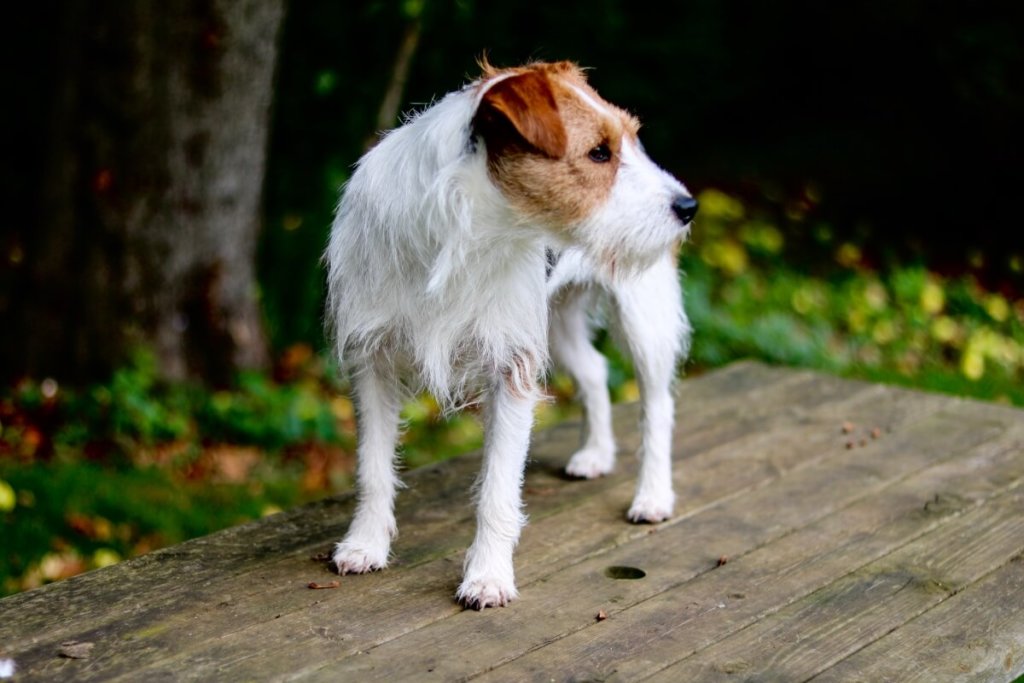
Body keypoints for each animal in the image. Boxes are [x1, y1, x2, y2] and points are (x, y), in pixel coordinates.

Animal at [325, 60, 696, 610]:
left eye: (632, 139)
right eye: (599, 152)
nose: (688, 206)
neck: (460, 236)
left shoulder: (511, 367)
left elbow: (497, 490)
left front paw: (487, 576)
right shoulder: (371, 361)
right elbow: (372, 467)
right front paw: (365, 544)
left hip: (643, 317)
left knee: (658, 407)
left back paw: (652, 495)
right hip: (556, 322)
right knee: (594, 371)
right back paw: (595, 454)